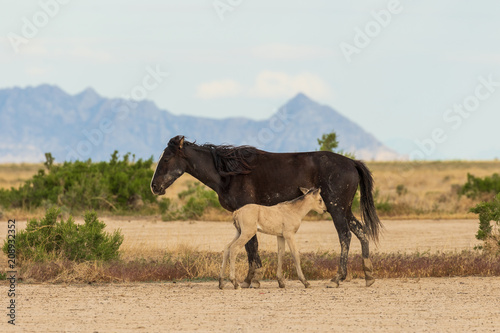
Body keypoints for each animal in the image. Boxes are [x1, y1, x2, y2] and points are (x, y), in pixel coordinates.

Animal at [150, 134, 380, 286]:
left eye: (167, 158)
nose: (154, 186)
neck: (230, 173)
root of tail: (351, 162)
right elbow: (249, 246)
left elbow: (251, 245)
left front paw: (252, 278)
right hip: (345, 209)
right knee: (361, 231)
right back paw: (368, 275)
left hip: (336, 208)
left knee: (345, 236)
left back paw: (338, 278)